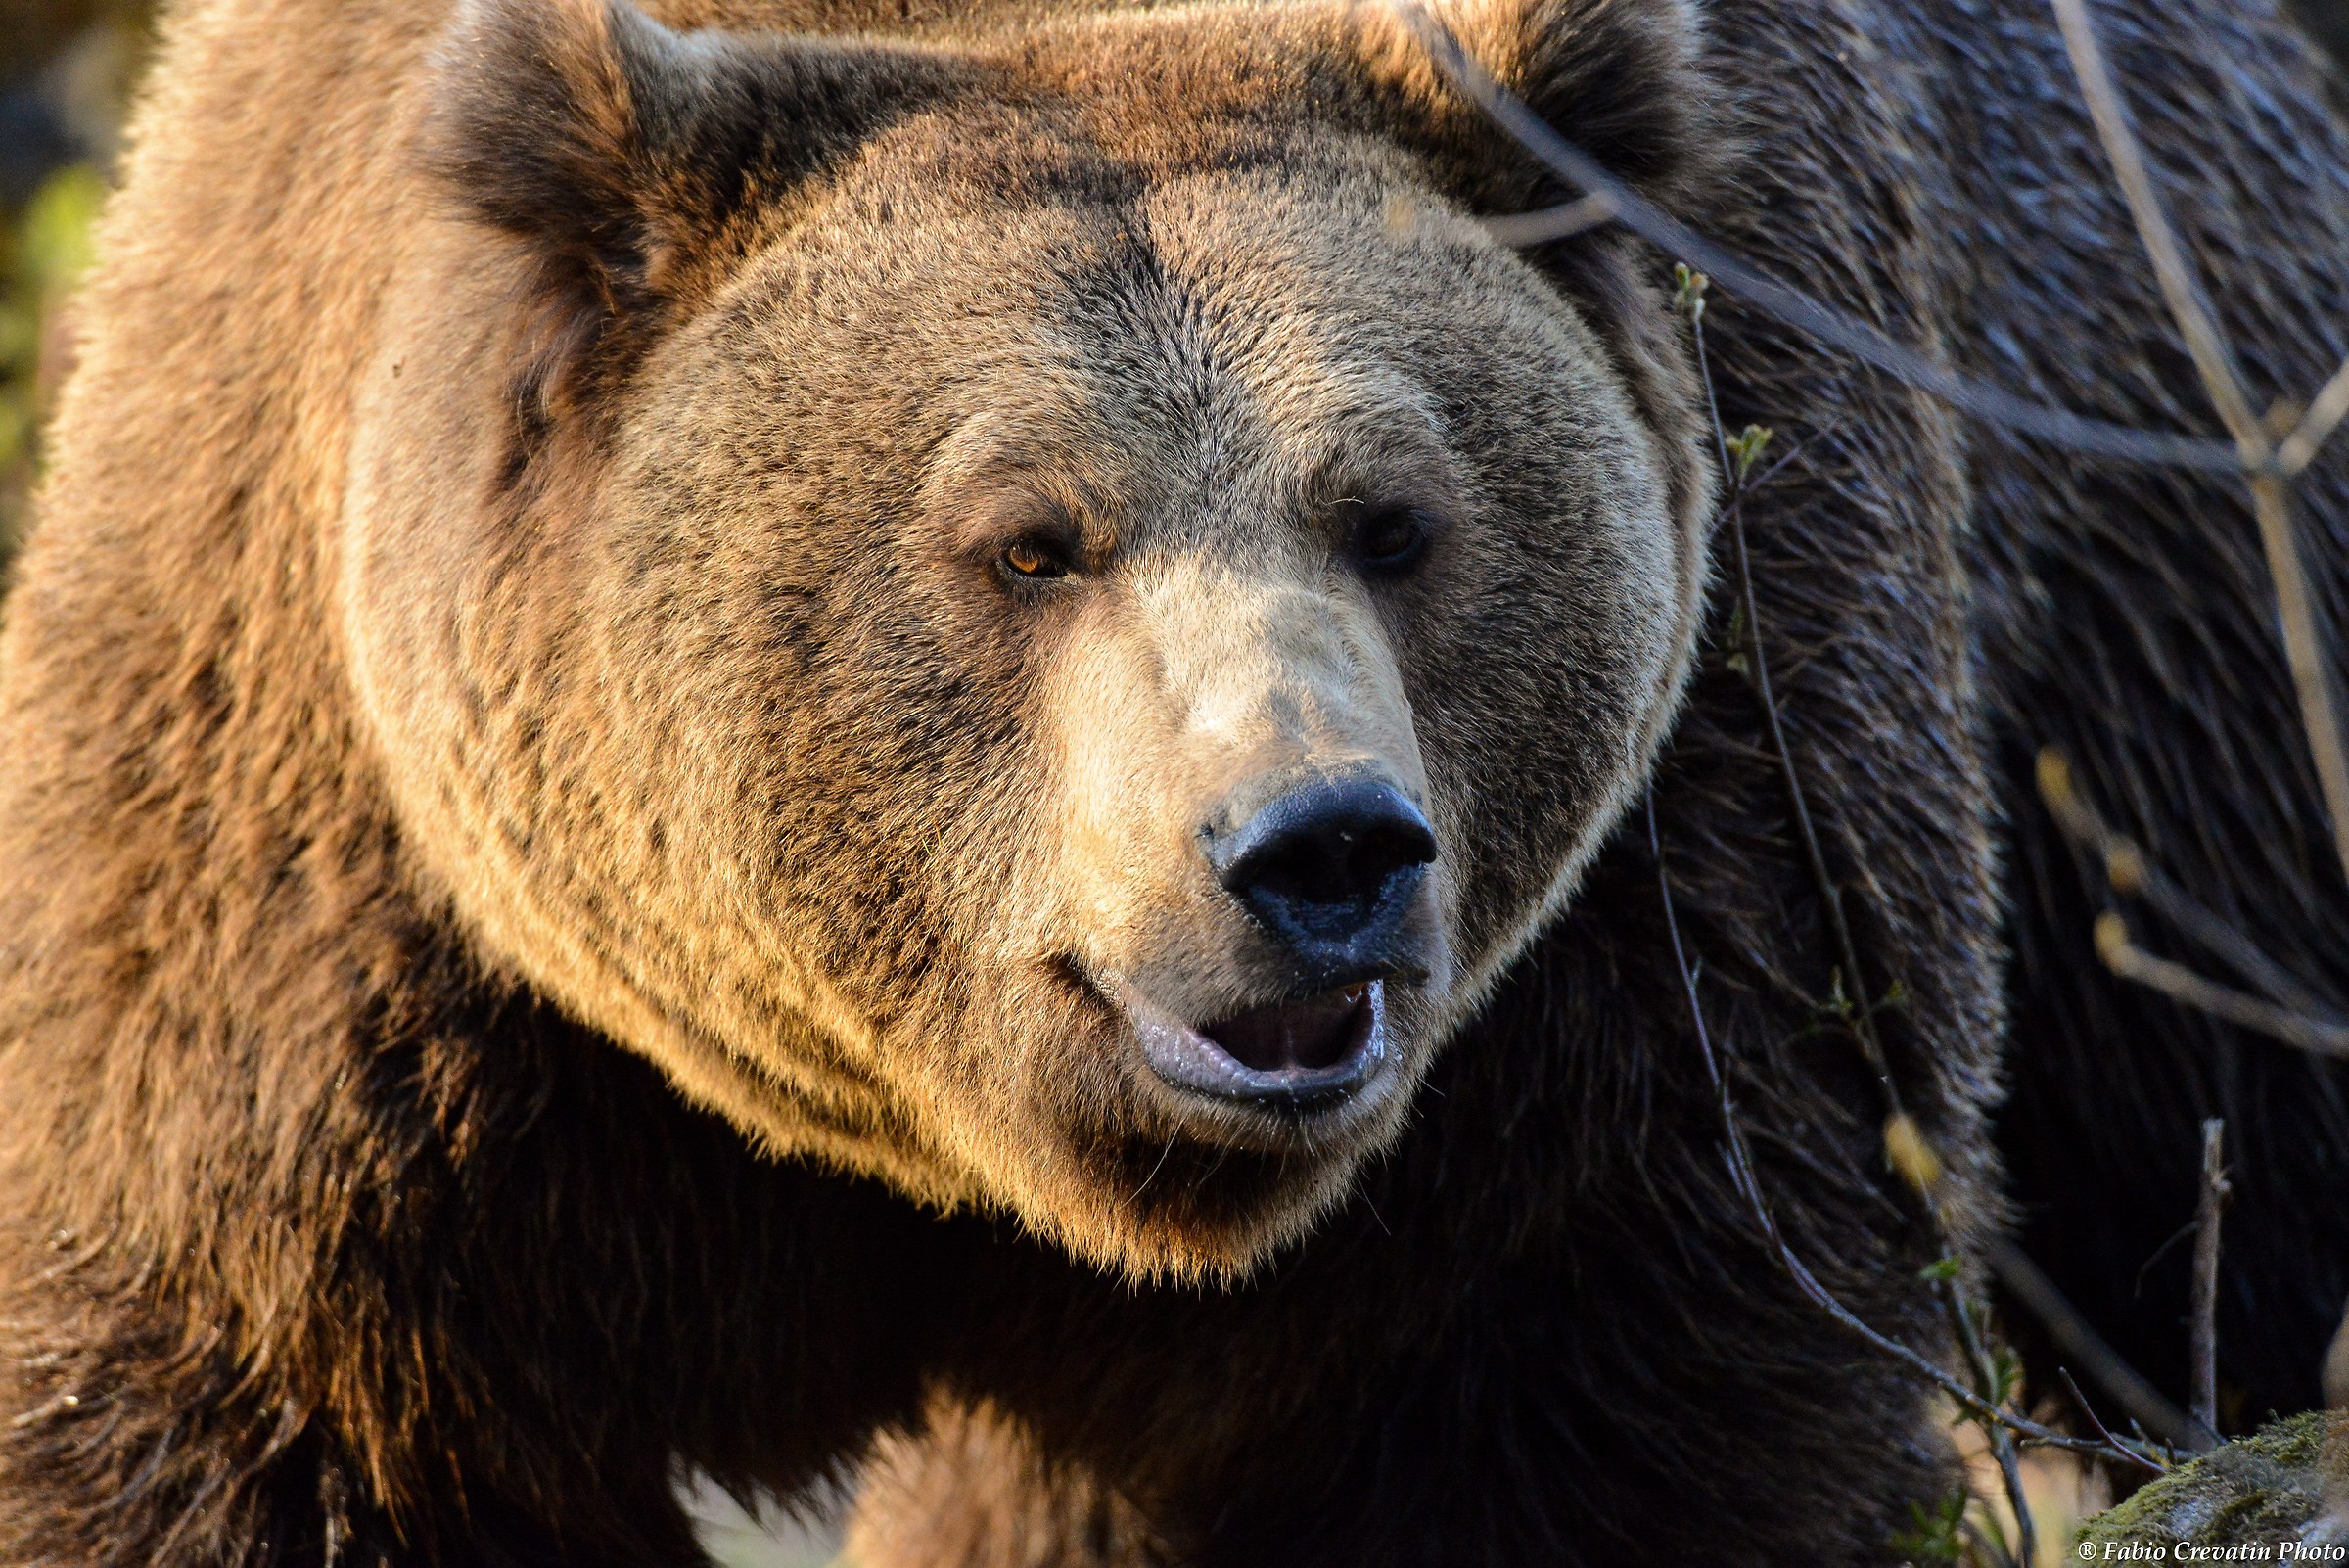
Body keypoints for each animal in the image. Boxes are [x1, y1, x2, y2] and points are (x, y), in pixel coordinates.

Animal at [3, 0, 2348, 1562]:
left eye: (1396, 516)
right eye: (1028, 539)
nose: (1320, 852)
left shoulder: (1672, 862)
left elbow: (1614, 1359)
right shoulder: (356, 911)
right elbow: (257, 1379)